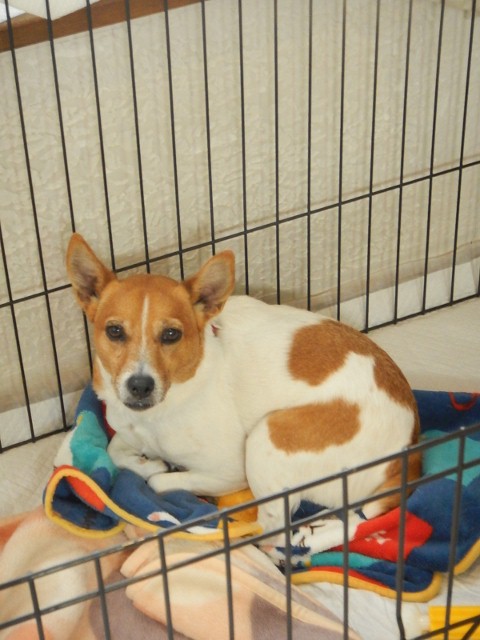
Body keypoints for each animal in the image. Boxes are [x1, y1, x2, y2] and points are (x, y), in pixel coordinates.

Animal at [67, 233, 421, 535]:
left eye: (171, 335)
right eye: (115, 331)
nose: (140, 385)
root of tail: (407, 456)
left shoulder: (229, 470)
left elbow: (157, 482)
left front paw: (163, 471)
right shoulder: (125, 430)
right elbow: (115, 451)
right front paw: (146, 460)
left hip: (269, 435)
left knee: (272, 525)